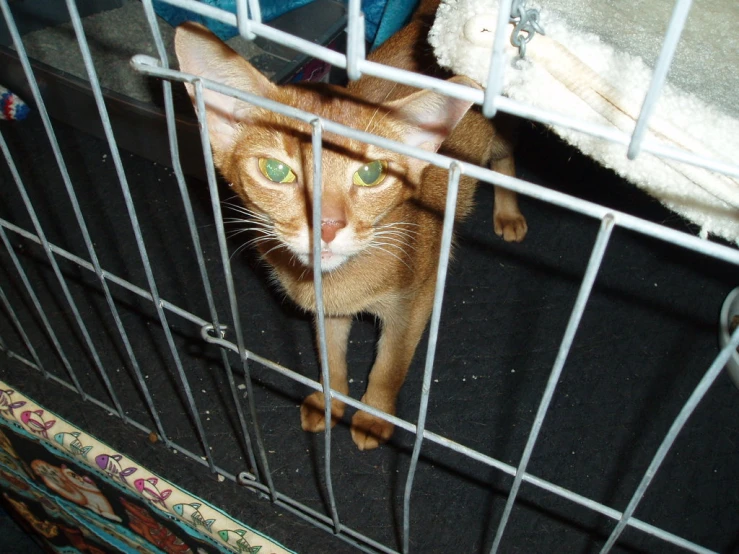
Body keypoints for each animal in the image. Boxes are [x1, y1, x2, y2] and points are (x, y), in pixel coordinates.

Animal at [175, 0, 528, 446]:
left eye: (371, 173)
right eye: (276, 170)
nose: (326, 225)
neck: (336, 282)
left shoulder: (416, 303)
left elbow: (390, 365)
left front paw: (374, 416)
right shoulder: (327, 310)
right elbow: (330, 356)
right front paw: (330, 401)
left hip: (497, 139)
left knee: (508, 155)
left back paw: (509, 213)